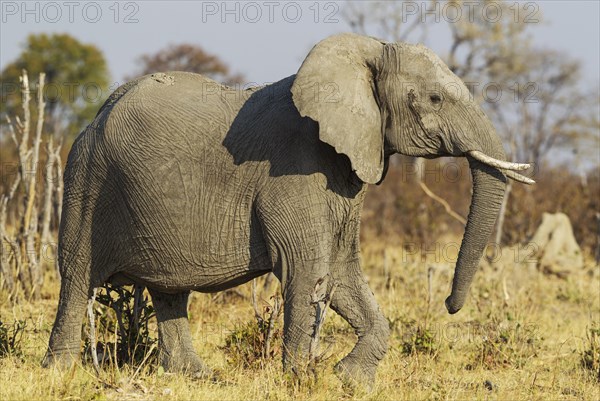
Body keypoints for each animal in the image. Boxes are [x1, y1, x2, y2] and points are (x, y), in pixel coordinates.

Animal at [44, 32, 532, 382]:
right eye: (434, 99)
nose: (449, 305)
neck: (365, 52)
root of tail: (95, 116)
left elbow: (342, 271)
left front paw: (349, 378)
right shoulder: (294, 171)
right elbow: (308, 269)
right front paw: (302, 380)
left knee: (168, 289)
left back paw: (196, 377)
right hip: (87, 180)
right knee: (77, 276)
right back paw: (60, 372)